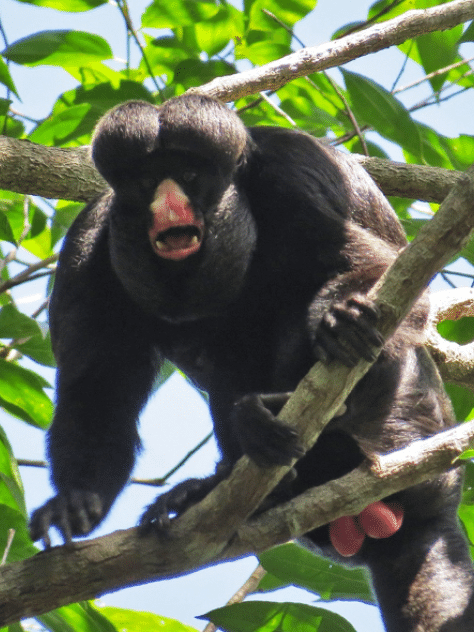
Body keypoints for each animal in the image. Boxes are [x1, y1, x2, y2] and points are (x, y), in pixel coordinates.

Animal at [30, 95, 474, 632]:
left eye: (190, 175)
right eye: (147, 182)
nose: (169, 205)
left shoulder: (291, 172)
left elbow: (379, 268)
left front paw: (344, 321)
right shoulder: (87, 242)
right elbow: (96, 388)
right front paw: (74, 502)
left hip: (404, 427)